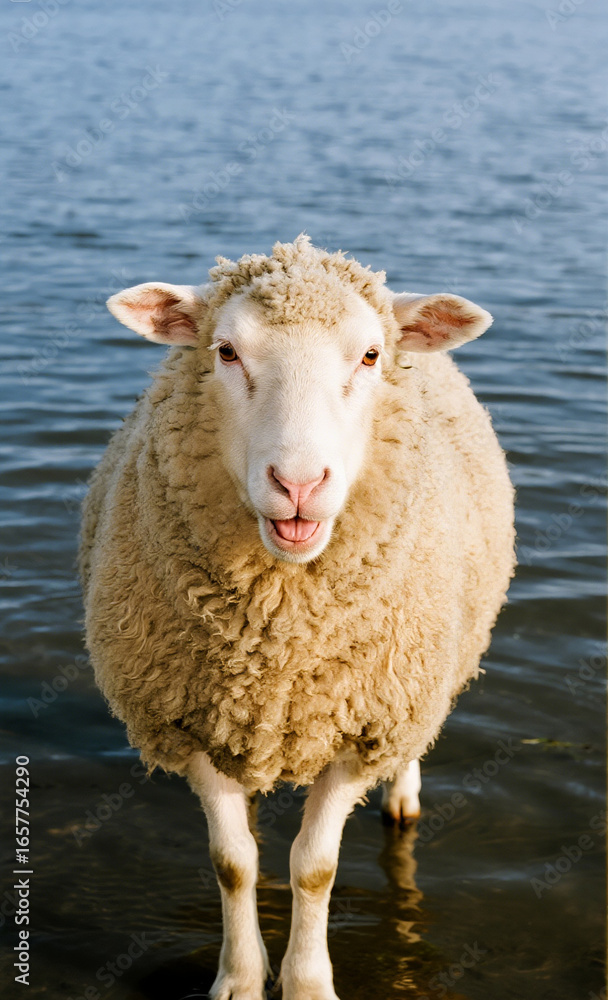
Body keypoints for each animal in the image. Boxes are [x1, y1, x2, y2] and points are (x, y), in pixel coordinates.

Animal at [79, 235, 515, 1000]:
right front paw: (239, 979)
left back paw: (403, 798)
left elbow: (314, 868)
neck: (277, 645)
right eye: (225, 351)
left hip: (416, 682)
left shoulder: (360, 724)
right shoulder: (190, 720)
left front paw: (308, 982)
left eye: (370, 355)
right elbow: (234, 863)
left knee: (409, 748)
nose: (299, 484)